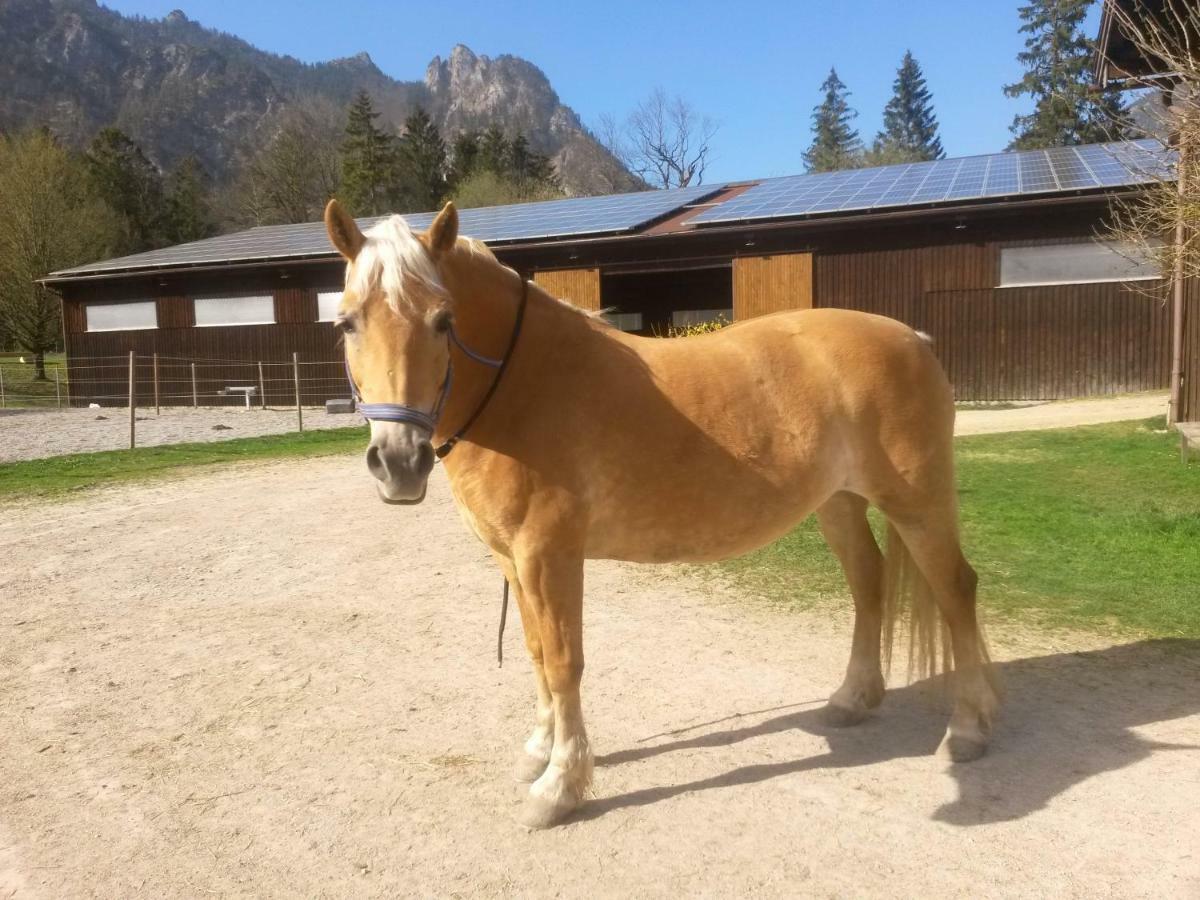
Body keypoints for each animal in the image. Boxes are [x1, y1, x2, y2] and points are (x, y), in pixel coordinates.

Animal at [324, 199, 998, 830]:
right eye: (348, 322)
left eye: (444, 321)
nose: (398, 462)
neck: (526, 384)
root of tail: (913, 338)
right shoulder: (511, 558)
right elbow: (536, 652)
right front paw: (539, 750)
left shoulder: (550, 555)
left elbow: (565, 660)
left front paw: (560, 786)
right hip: (839, 503)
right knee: (869, 584)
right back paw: (854, 699)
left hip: (918, 504)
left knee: (956, 591)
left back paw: (967, 728)